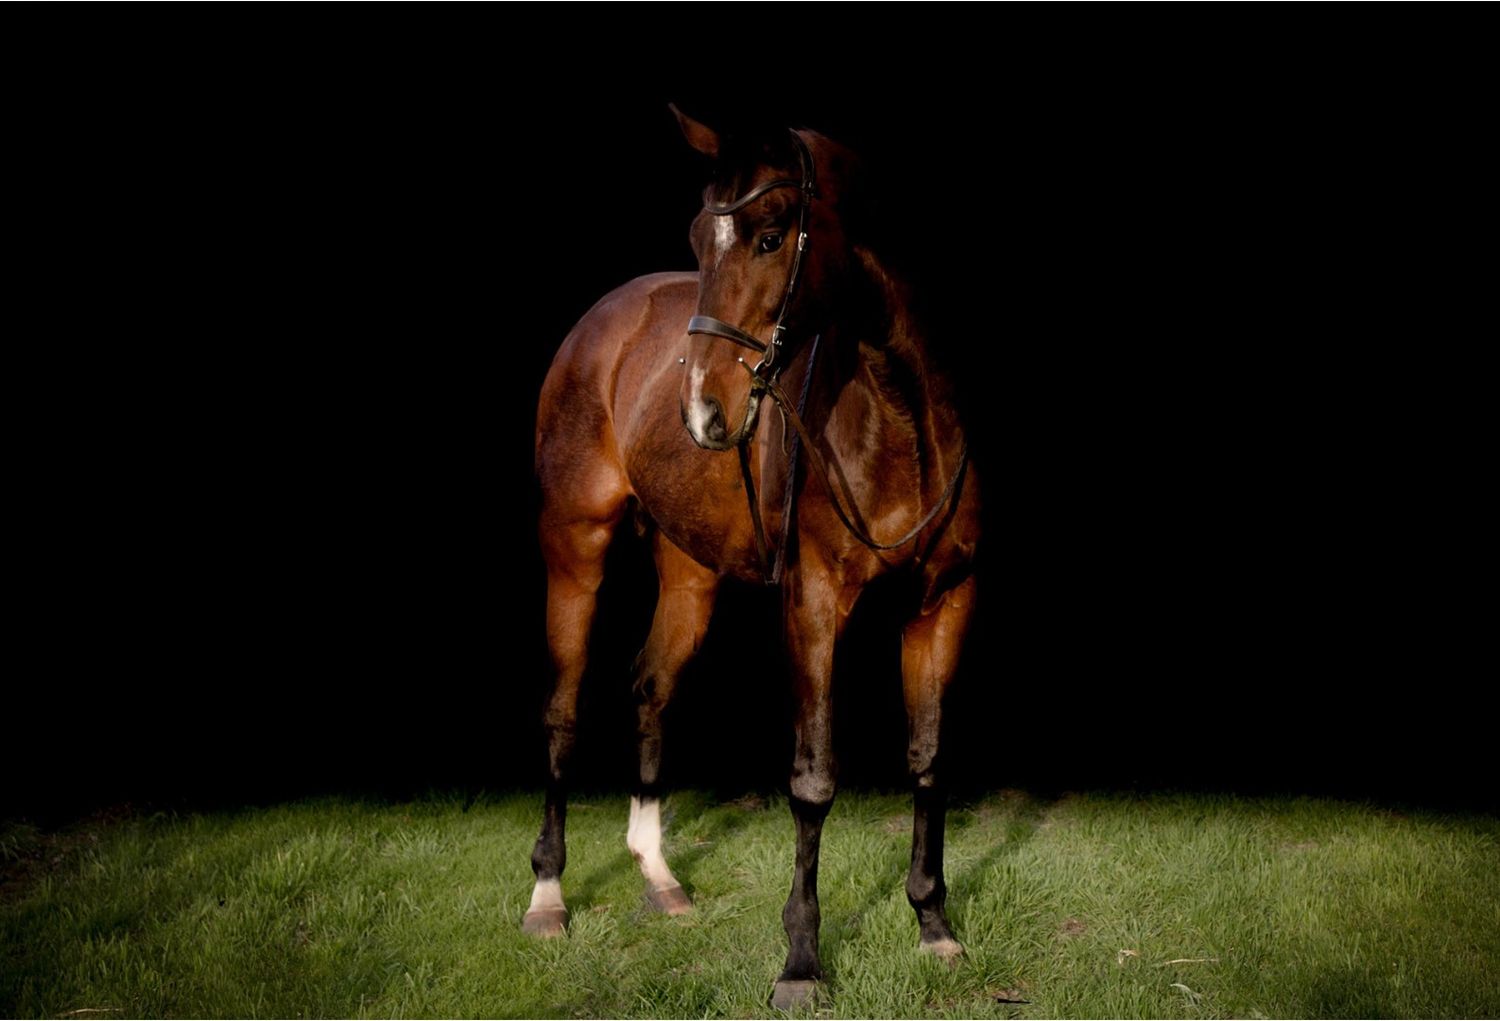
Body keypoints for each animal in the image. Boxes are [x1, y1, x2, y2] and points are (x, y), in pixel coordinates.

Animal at [524, 105, 980, 1009]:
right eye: (699, 238)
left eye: (771, 237)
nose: (703, 406)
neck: (904, 422)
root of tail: (603, 318)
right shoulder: (812, 607)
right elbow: (812, 780)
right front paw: (801, 963)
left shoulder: (943, 602)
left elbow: (928, 759)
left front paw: (934, 924)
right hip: (574, 544)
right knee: (563, 709)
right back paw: (548, 897)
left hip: (690, 572)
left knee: (651, 684)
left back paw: (660, 878)